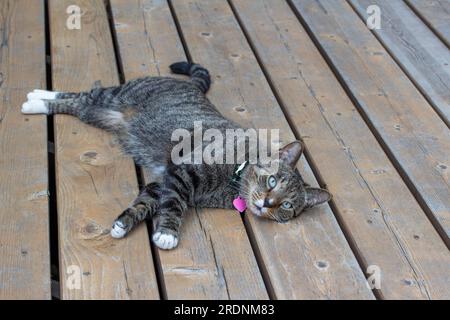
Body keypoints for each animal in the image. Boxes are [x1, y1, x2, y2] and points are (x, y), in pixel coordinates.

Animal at [22, 60, 330, 250]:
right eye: (272, 181)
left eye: (287, 205)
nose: (267, 203)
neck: (235, 176)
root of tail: (191, 85)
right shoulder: (183, 173)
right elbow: (174, 205)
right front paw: (167, 233)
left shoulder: (163, 181)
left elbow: (146, 202)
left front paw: (123, 224)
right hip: (115, 95)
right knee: (84, 93)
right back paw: (37, 97)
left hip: (99, 115)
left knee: (77, 105)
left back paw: (38, 100)